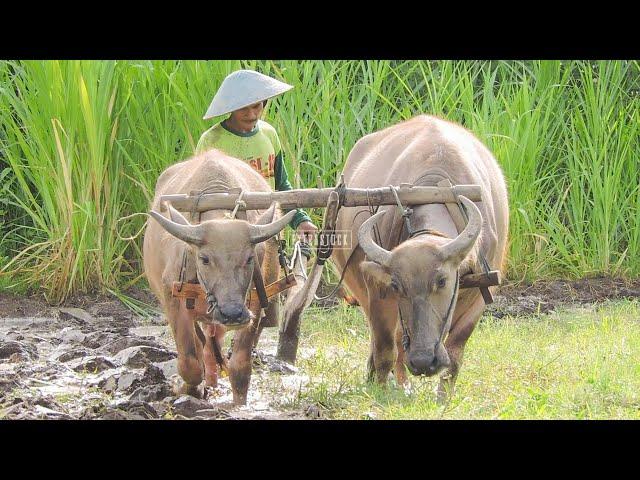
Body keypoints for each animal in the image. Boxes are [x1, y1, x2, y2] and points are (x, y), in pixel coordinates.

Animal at [143, 150, 296, 404]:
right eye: (204, 259)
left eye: (249, 258)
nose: (232, 313)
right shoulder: (173, 300)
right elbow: (189, 362)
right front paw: (188, 389)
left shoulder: (254, 301)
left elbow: (240, 366)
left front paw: (238, 402)